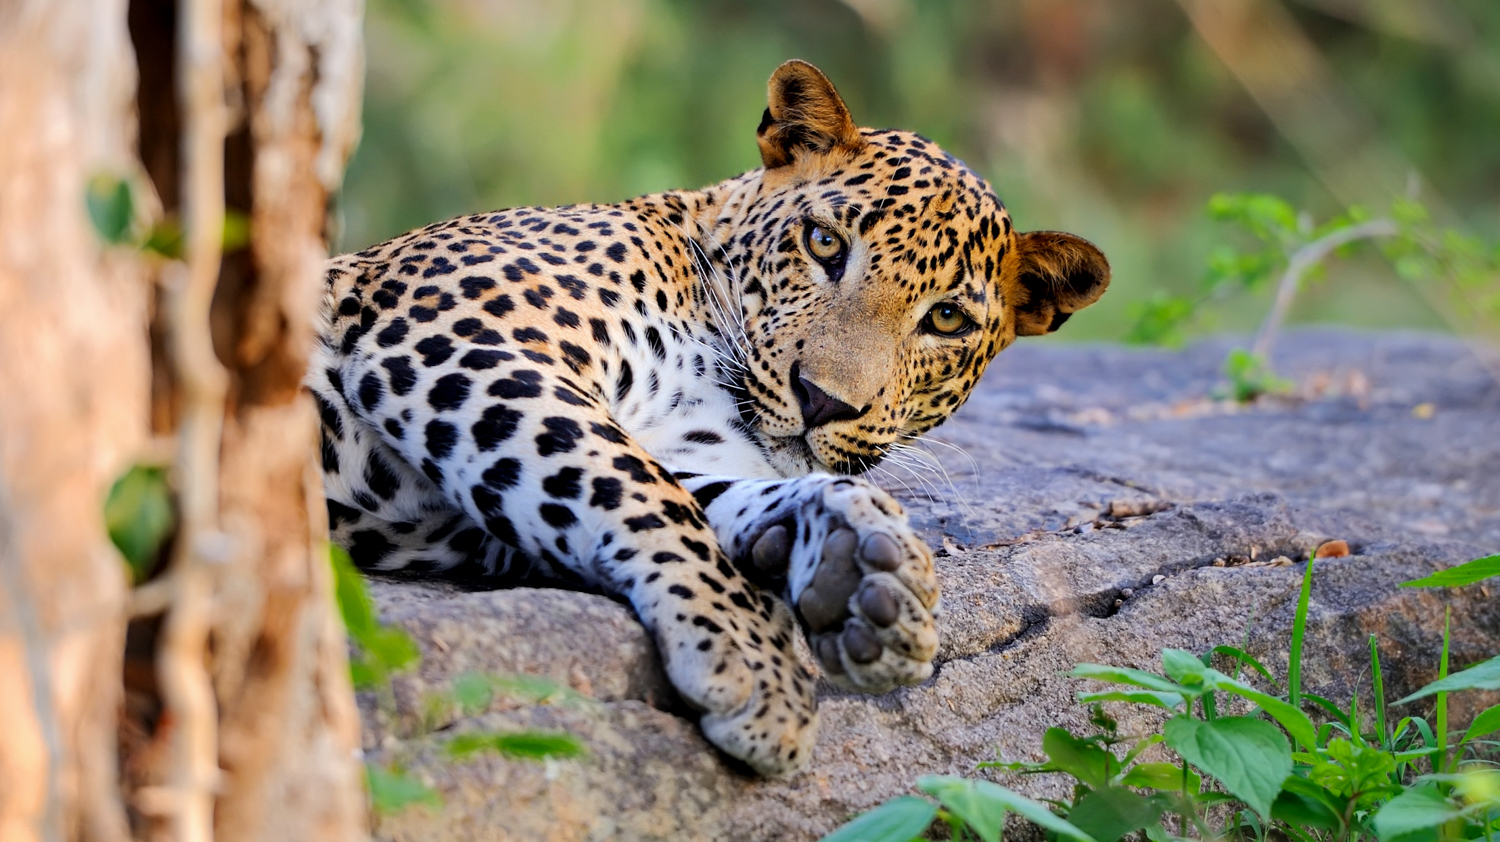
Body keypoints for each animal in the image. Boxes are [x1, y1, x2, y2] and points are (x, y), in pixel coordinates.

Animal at [309, 60, 1109, 777]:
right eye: (824, 243)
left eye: (946, 319)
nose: (822, 399)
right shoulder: (461, 334)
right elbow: (638, 487)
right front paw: (754, 660)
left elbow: (686, 490)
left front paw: (857, 564)